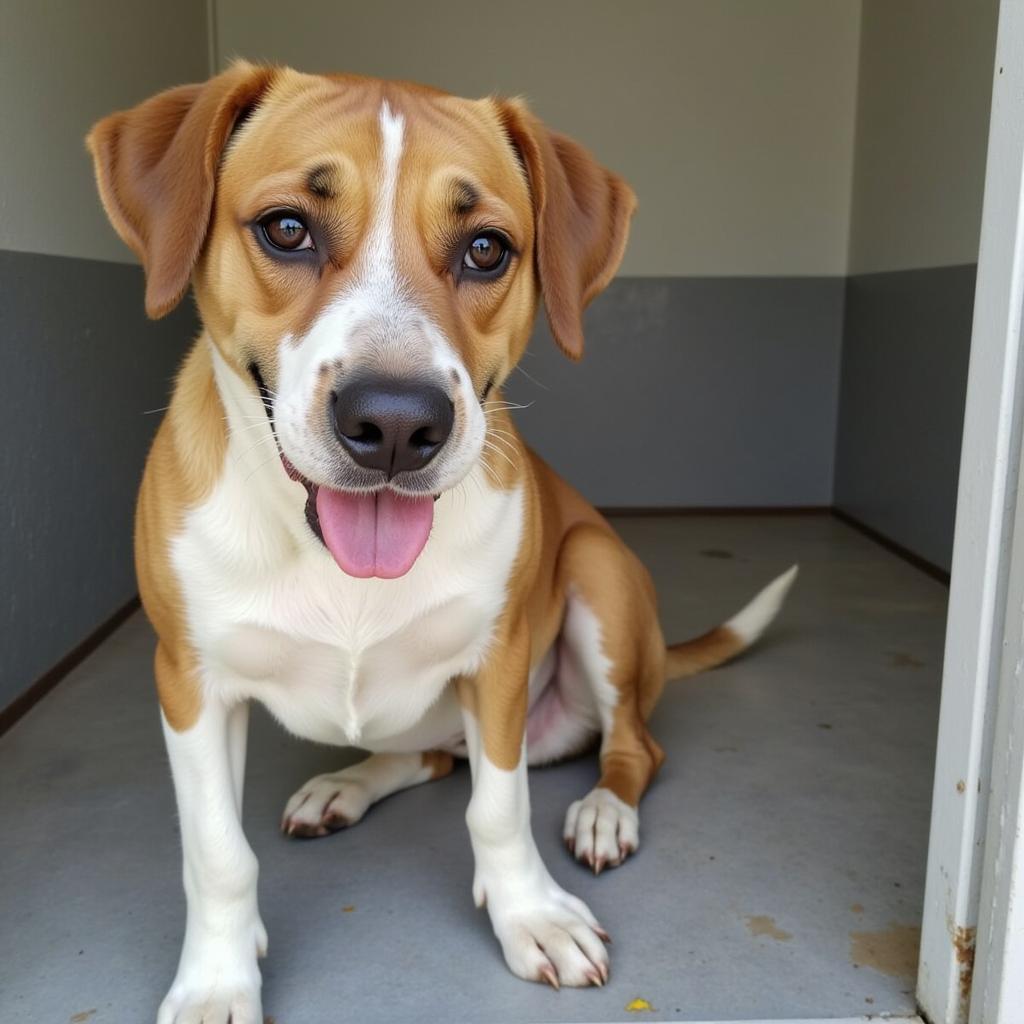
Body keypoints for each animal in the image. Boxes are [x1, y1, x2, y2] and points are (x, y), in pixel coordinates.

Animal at [88, 61, 794, 1024]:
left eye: (487, 249)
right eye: (286, 229)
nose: (394, 424)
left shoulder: (497, 664)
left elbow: (498, 809)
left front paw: (531, 916)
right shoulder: (188, 682)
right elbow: (217, 852)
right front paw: (215, 982)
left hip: (598, 576)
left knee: (633, 747)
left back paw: (604, 810)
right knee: (421, 753)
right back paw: (347, 784)